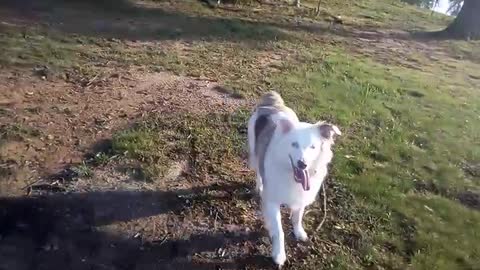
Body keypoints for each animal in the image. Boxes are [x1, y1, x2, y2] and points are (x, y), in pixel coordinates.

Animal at [248, 90, 342, 266]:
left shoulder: (302, 196)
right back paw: (259, 186)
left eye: (313, 147)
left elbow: (298, 217)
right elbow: (279, 231)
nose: (302, 164)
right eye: (294, 144)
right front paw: (279, 254)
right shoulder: (272, 201)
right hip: (254, 150)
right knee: (258, 170)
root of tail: (273, 104)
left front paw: (299, 232)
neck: (290, 174)